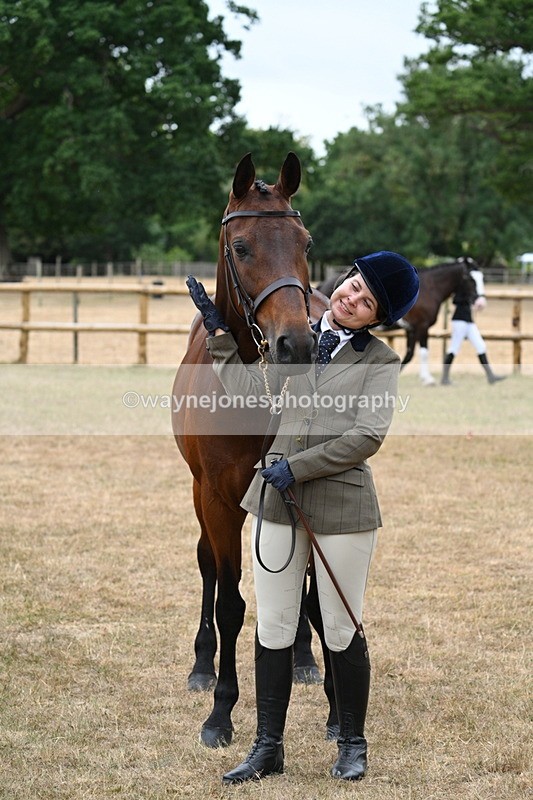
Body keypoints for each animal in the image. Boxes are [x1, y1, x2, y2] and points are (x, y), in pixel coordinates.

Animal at [172, 153, 334, 748]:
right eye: (241, 247)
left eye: (306, 243)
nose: (297, 343)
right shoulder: (218, 500)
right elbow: (230, 602)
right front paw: (220, 712)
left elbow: (308, 591)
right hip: (200, 495)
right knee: (207, 567)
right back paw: (201, 667)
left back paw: (305, 659)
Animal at [318, 258, 478, 385]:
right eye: (470, 278)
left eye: (480, 277)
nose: (478, 300)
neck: (431, 288)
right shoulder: (422, 326)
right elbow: (423, 353)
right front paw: (428, 379)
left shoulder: (412, 329)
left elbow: (409, 354)